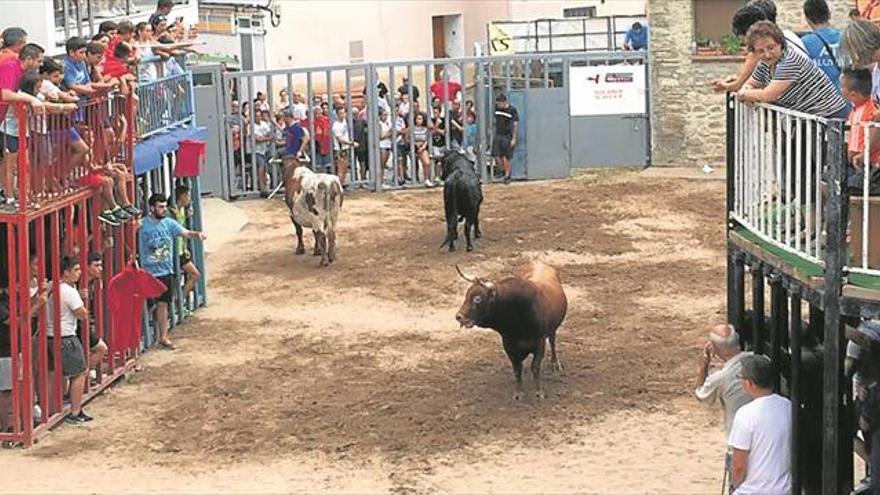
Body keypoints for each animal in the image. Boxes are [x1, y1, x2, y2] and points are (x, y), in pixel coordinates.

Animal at [458, 262, 568, 402]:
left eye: (477, 298)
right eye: (466, 295)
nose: (459, 316)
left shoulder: (539, 342)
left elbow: (535, 367)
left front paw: (539, 392)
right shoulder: (509, 345)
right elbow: (517, 369)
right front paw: (518, 392)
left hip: (552, 328)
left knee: (553, 341)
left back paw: (555, 363)